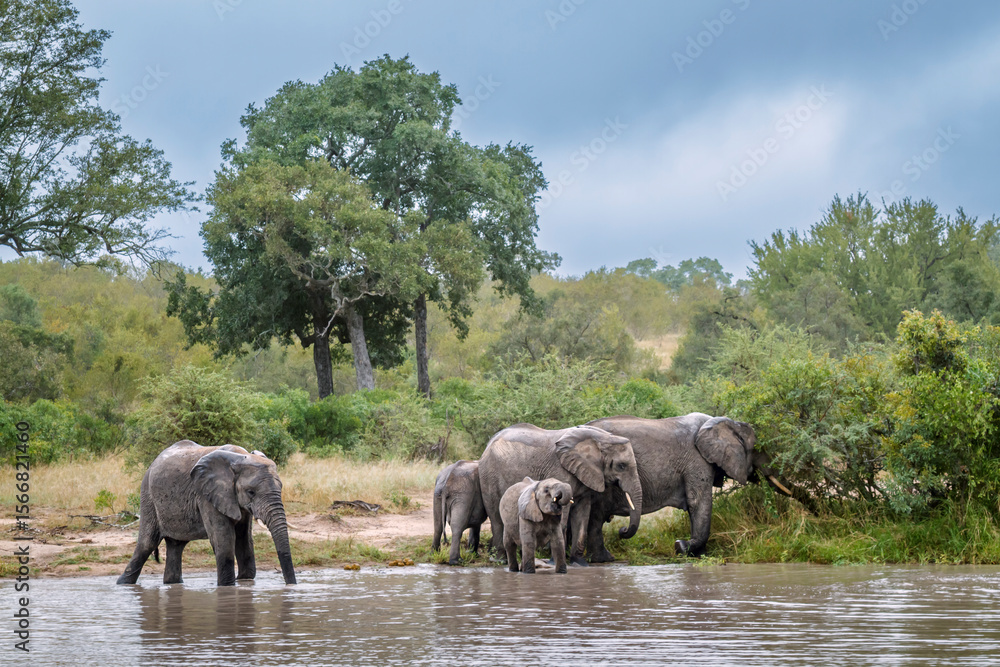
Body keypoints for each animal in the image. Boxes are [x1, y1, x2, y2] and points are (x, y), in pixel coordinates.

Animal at [117, 440, 297, 586]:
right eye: (251, 492)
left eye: (280, 488)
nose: (291, 585)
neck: (240, 457)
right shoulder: (206, 495)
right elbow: (224, 540)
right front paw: (227, 587)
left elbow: (244, 540)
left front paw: (244, 582)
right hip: (148, 495)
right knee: (147, 544)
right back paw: (122, 583)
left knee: (176, 545)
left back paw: (172, 583)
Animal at [478, 423, 643, 566]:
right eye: (621, 466)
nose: (623, 530)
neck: (603, 438)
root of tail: (488, 444)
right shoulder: (560, 472)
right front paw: (555, 561)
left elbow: (582, 518)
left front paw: (579, 563)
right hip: (489, 478)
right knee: (497, 519)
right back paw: (501, 561)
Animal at [586, 413, 789, 558]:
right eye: (756, 449)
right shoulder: (697, 460)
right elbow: (698, 502)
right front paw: (682, 547)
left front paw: (698, 554)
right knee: (595, 517)